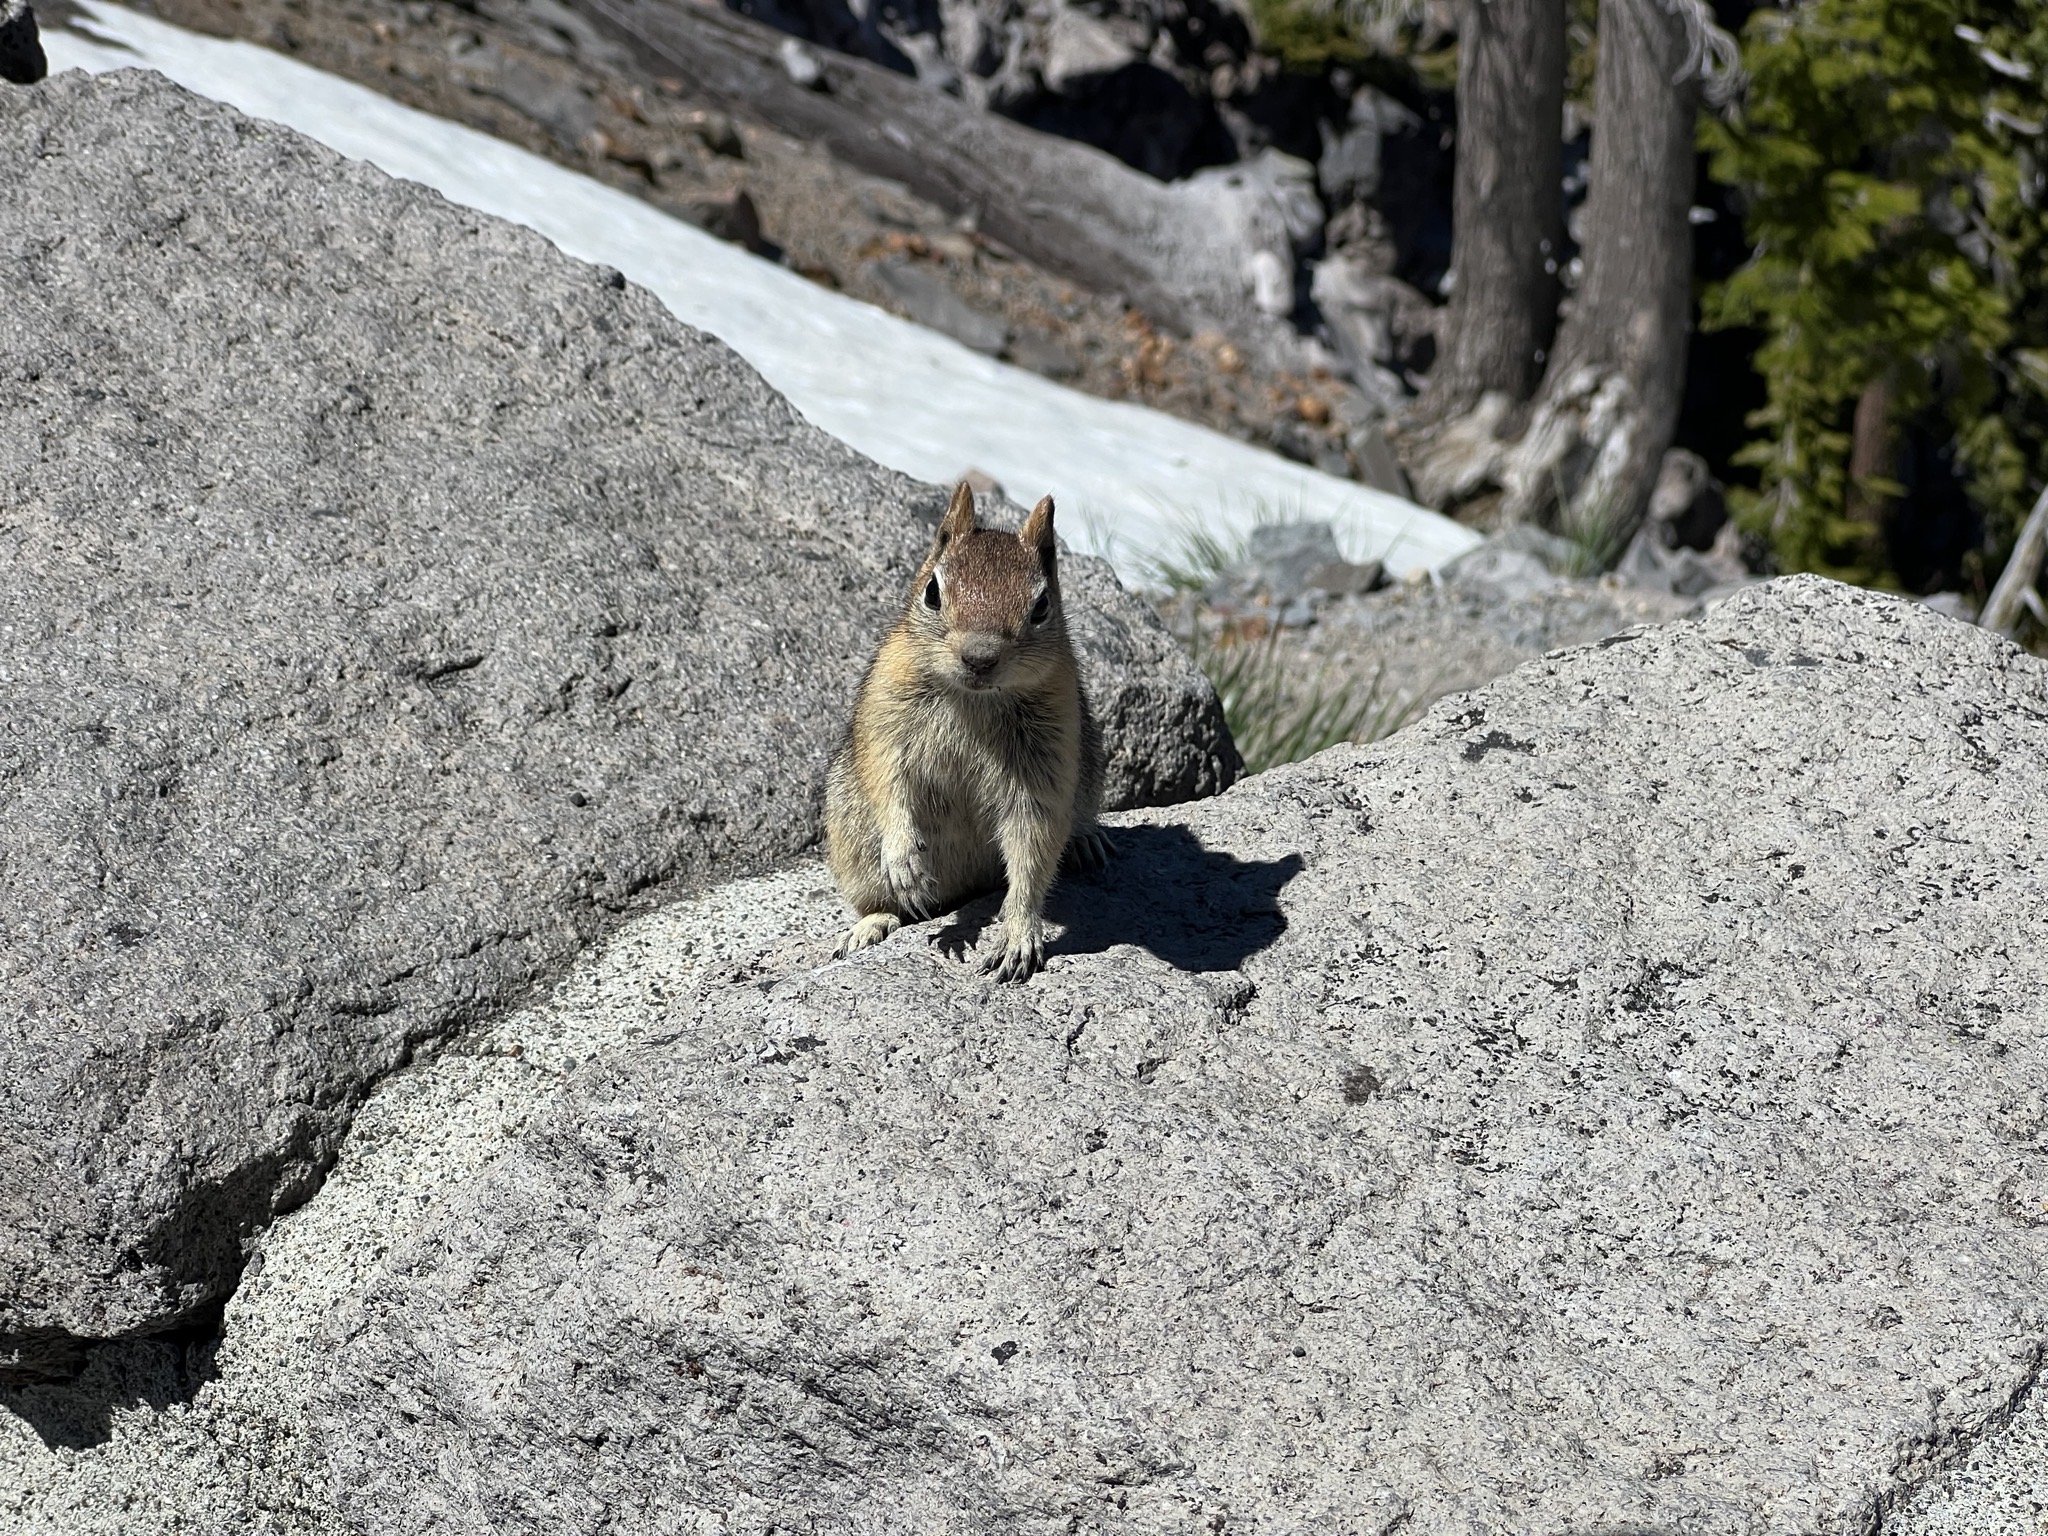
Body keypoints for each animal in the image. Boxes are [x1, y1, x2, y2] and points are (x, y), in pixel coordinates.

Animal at [825, 482, 1111, 983]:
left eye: (1041, 606)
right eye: (932, 592)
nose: (980, 657)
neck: (975, 699)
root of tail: (959, 889)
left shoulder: (1048, 757)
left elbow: (1033, 842)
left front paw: (1018, 934)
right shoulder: (885, 715)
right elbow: (887, 781)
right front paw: (904, 857)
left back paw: (1086, 839)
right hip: (852, 843)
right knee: (886, 904)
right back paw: (870, 924)